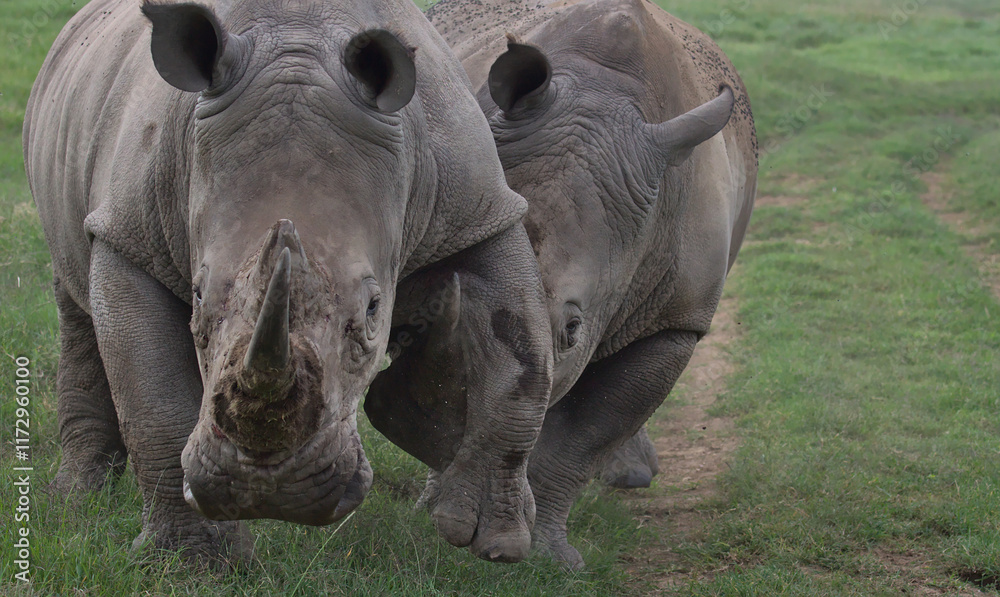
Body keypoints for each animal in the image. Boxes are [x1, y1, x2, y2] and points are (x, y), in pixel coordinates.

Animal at [23, 0, 553, 563]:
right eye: (198, 295)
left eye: (373, 308)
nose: (269, 490)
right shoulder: (128, 234)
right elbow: (153, 399)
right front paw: (194, 562)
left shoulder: (480, 209)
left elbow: (525, 353)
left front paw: (495, 542)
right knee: (76, 304)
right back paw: (77, 497)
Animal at [366, 0, 757, 568]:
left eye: (573, 329)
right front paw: (443, 517)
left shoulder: (678, 320)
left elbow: (583, 433)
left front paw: (550, 558)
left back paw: (629, 476)